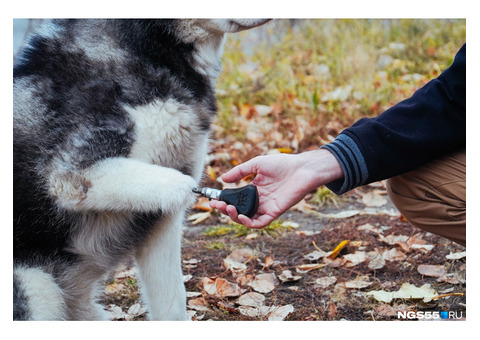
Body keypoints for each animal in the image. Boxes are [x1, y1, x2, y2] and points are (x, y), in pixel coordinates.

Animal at [14, 19, 270, 322]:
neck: (145, 49)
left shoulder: (160, 218)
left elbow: (172, 302)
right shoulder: (70, 175)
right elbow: (181, 185)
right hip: (37, 289)